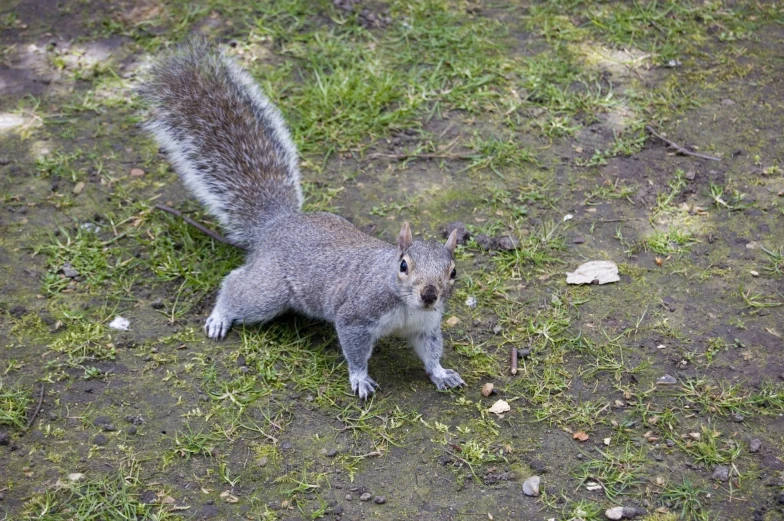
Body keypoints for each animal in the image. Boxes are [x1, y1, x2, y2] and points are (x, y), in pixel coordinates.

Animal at [139, 40, 466, 398]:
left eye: (453, 272)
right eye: (404, 265)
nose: (430, 295)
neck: (406, 305)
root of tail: (276, 224)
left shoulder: (426, 326)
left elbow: (431, 351)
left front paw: (441, 373)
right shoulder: (355, 315)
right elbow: (355, 350)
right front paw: (360, 378)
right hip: (269, 291)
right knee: (237, 286)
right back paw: (220, 316)